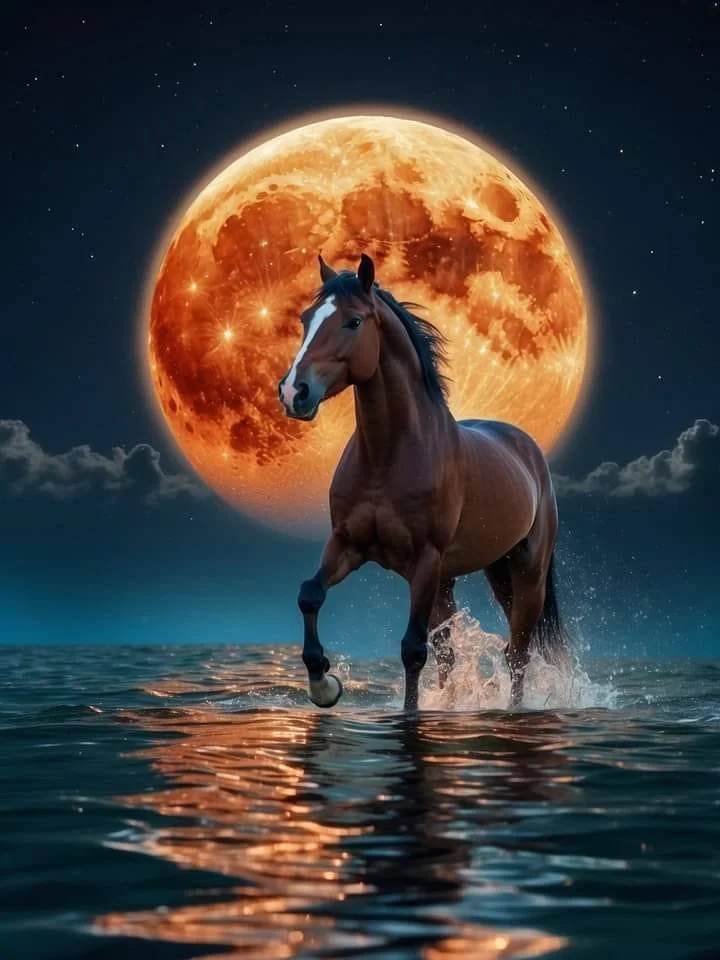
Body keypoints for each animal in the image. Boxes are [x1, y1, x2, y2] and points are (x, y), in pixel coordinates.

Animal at [278, 253, 571, 711]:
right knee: (454, 651)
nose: (294, 393)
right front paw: (325, 685)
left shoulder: (425, 559)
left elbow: (413, 650)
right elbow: (310, 594)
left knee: (517, 651)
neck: (387, 456)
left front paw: (409, 713)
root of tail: (527, 449)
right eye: (306, 318)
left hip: (525, 572)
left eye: (353, 322)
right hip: (469, 577)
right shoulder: (346, 544)